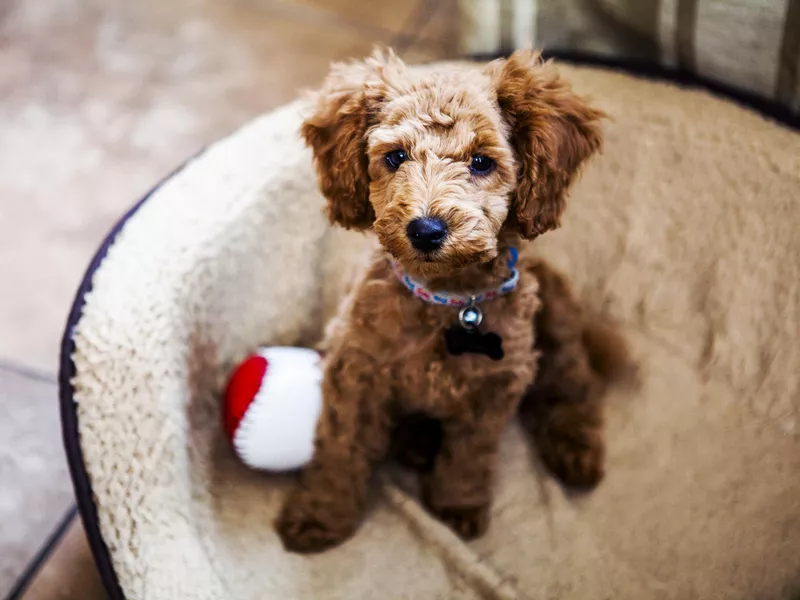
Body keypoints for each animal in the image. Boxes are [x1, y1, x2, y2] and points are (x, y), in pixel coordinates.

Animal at [278, 50, 620, 552]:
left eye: (481, 162)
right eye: (395, 157)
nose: (426, 230)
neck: (448, 299)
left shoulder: (495, 387)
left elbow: (469, 456)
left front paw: (458, 507)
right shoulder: (356, 372)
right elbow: (340, 448)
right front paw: (319, 516)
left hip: (557, 324)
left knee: (576, 386)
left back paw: (576, 451)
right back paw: (416, 444)